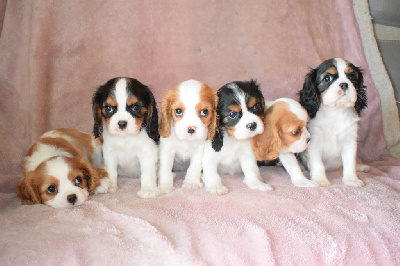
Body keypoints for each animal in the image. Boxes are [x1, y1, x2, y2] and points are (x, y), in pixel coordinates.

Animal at [298, 58, 368, 187]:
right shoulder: (314, 144)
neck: (335, 112)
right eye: (327, 78)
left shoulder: (350, 143)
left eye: (351, 77)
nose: (344, 84)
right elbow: (317, 164)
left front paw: (351, 180)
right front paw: (320, 180)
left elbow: (350, 162)